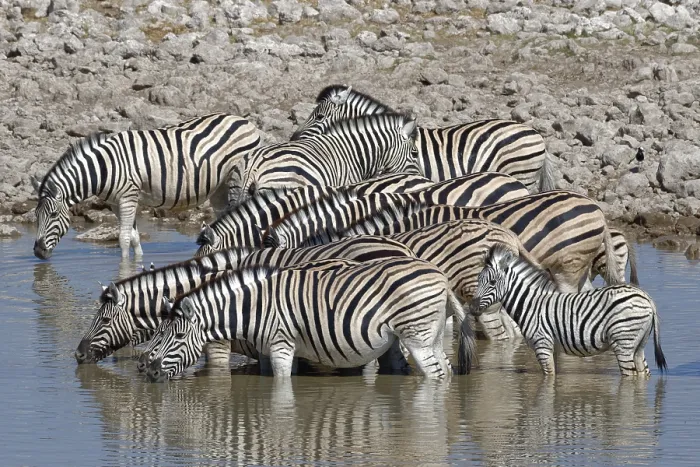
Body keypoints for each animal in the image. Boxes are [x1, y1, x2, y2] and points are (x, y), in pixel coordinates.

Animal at [32, 113, 260, 259]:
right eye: (36, 215)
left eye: (53, 215)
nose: (38, 252)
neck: (104, 168)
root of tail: (245, 121)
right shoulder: (116, 203)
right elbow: (133, 237)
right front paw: (138, 265)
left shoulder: (128, 197)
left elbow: (123, 239)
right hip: (219, 188)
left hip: (235, 181)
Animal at [146, 257, 476, 381]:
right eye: (157, 332)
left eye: (177, 337)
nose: (149, 370)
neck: (254, 306)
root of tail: (441, 277)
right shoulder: (270, 349)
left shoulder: (281, 343)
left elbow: (281, 385)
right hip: (431, 335)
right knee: (445, 370)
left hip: (417, 337)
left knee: (436, 375)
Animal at [470, 244, 667, 376]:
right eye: (478, 280)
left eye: (492, 282)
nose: (472, 307)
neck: (530, 304)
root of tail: (645, 297)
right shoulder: (553, 347)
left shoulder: (542, 344)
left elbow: (548, 379)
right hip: (638, 344)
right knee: (642, 374)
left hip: (623, 341)